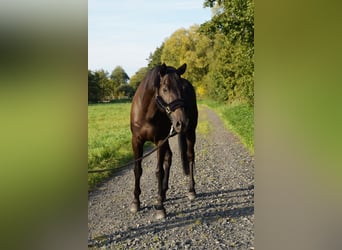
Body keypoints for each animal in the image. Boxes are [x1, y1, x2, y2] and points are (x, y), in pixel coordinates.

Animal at [130, 63, 198, 220]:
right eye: (165, 89)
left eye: (182, 90)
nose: (182, 122)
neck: (146, 114)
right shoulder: (136, 141)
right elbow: (137, 170)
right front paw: (136, 202)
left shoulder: (160, 141)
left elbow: (158, 171)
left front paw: (160, 207)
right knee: (169, 157)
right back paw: (164, 191)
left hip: (191, 133)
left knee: (190, 157)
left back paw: (191, 190)